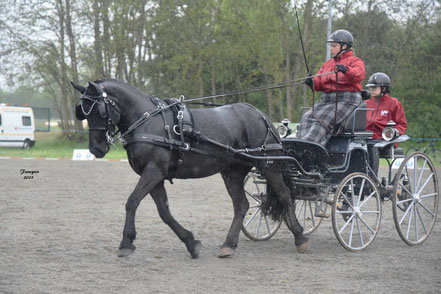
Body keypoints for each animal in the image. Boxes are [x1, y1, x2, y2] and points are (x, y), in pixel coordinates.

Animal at [72, 79, 308, 258]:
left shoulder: (154, 171)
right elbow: (164, 212)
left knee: (284, 196)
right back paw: (228, 244)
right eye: (83, 113)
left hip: (269, 166)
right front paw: (191, 242)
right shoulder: (156, 176)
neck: (146, 121)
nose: (96, 149)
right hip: (232, 171)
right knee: (241, 205)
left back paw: (300, 236)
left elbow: (132, 202)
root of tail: (260, 115)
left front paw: (126, 243)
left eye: (100, 111)